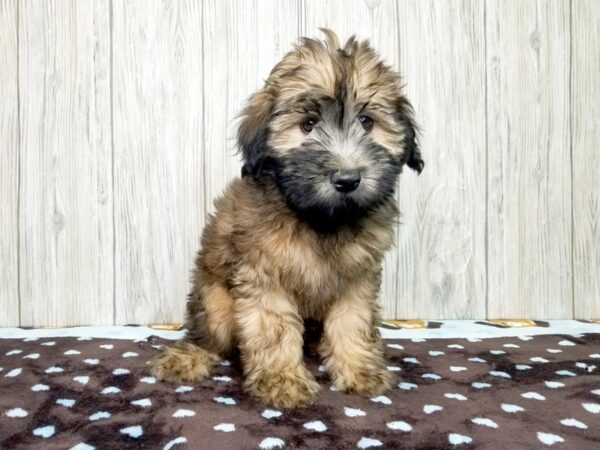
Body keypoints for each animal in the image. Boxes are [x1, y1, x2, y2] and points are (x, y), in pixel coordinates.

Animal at [150, 29, 422, 408]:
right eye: (308, 124)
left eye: (367, 122)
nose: (347, 179)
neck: (321, 219)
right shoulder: (264, 275)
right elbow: (273, 328)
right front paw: (281, 379)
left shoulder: (357, 278)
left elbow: (352, 321)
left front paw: (358, 368)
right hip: (216, 303)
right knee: (210, 336)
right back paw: (189, 356)